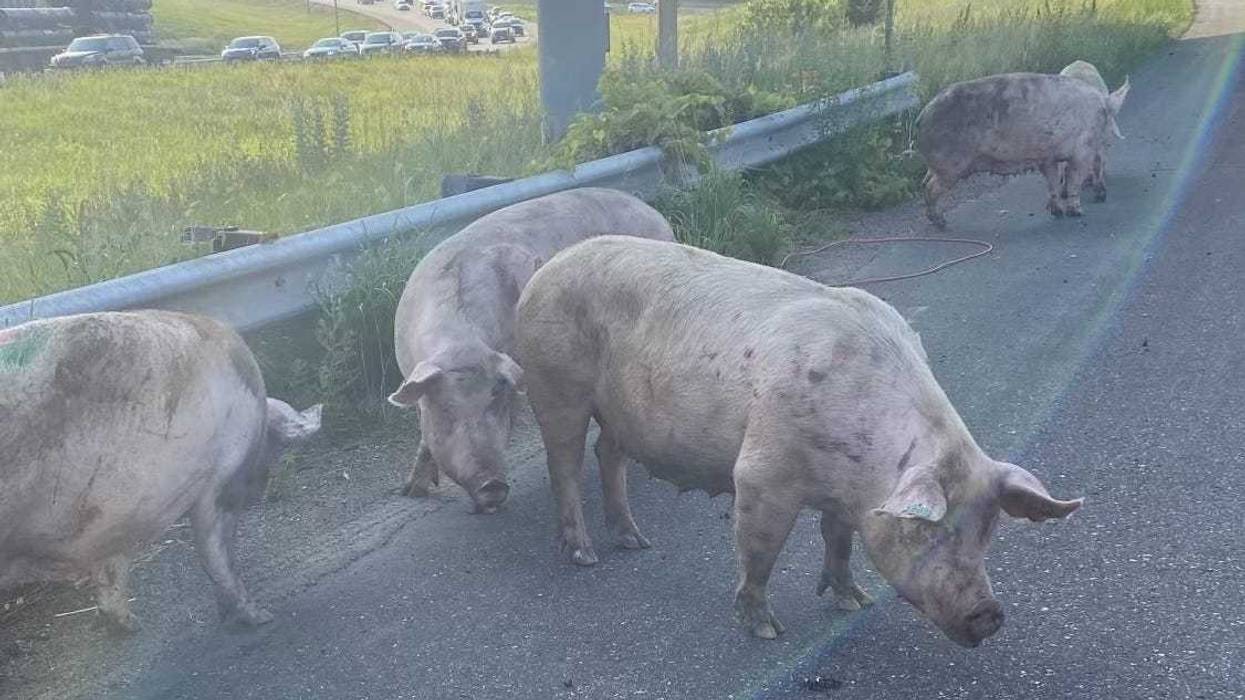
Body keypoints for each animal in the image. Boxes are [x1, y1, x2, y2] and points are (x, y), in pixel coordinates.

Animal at [0, 311, 321, 633]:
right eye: (272, 444)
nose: (262, 484)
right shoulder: (219, 480)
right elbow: (216, 552)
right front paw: (260, 616)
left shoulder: (114, 518)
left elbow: (113, 569)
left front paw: (129, 626)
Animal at [388, 187, 674, 513]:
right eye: (445, 410)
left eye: (496, 400)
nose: (492, 485)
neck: (460, 344)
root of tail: (654, 214)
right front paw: (411, 492)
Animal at [514, 237, 1082, 645]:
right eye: (927, 532)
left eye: (989, 532)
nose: (990, 614)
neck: (863, 477)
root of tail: (544, 269)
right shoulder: (761, 475)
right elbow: (759, 552)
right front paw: (766, 630)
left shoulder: (845, 493)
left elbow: (839, 542)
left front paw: (855, 602)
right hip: (556, 386)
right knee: (564, 465)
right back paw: (585, 555)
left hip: (618, 413)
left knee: (606, 454)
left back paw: (635, 541)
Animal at [917, 71, 1130, 227]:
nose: (1103, 197)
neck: (1101, 112)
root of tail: (921, 117)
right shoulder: (1081, 151)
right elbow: (1073, 180)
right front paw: (1077, 212)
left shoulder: (1048, 157)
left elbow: (1053, 182)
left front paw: (1057, 212)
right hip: (950, 165)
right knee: (931, 187)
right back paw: (941, 223)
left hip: (937, 166)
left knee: (924, 182)